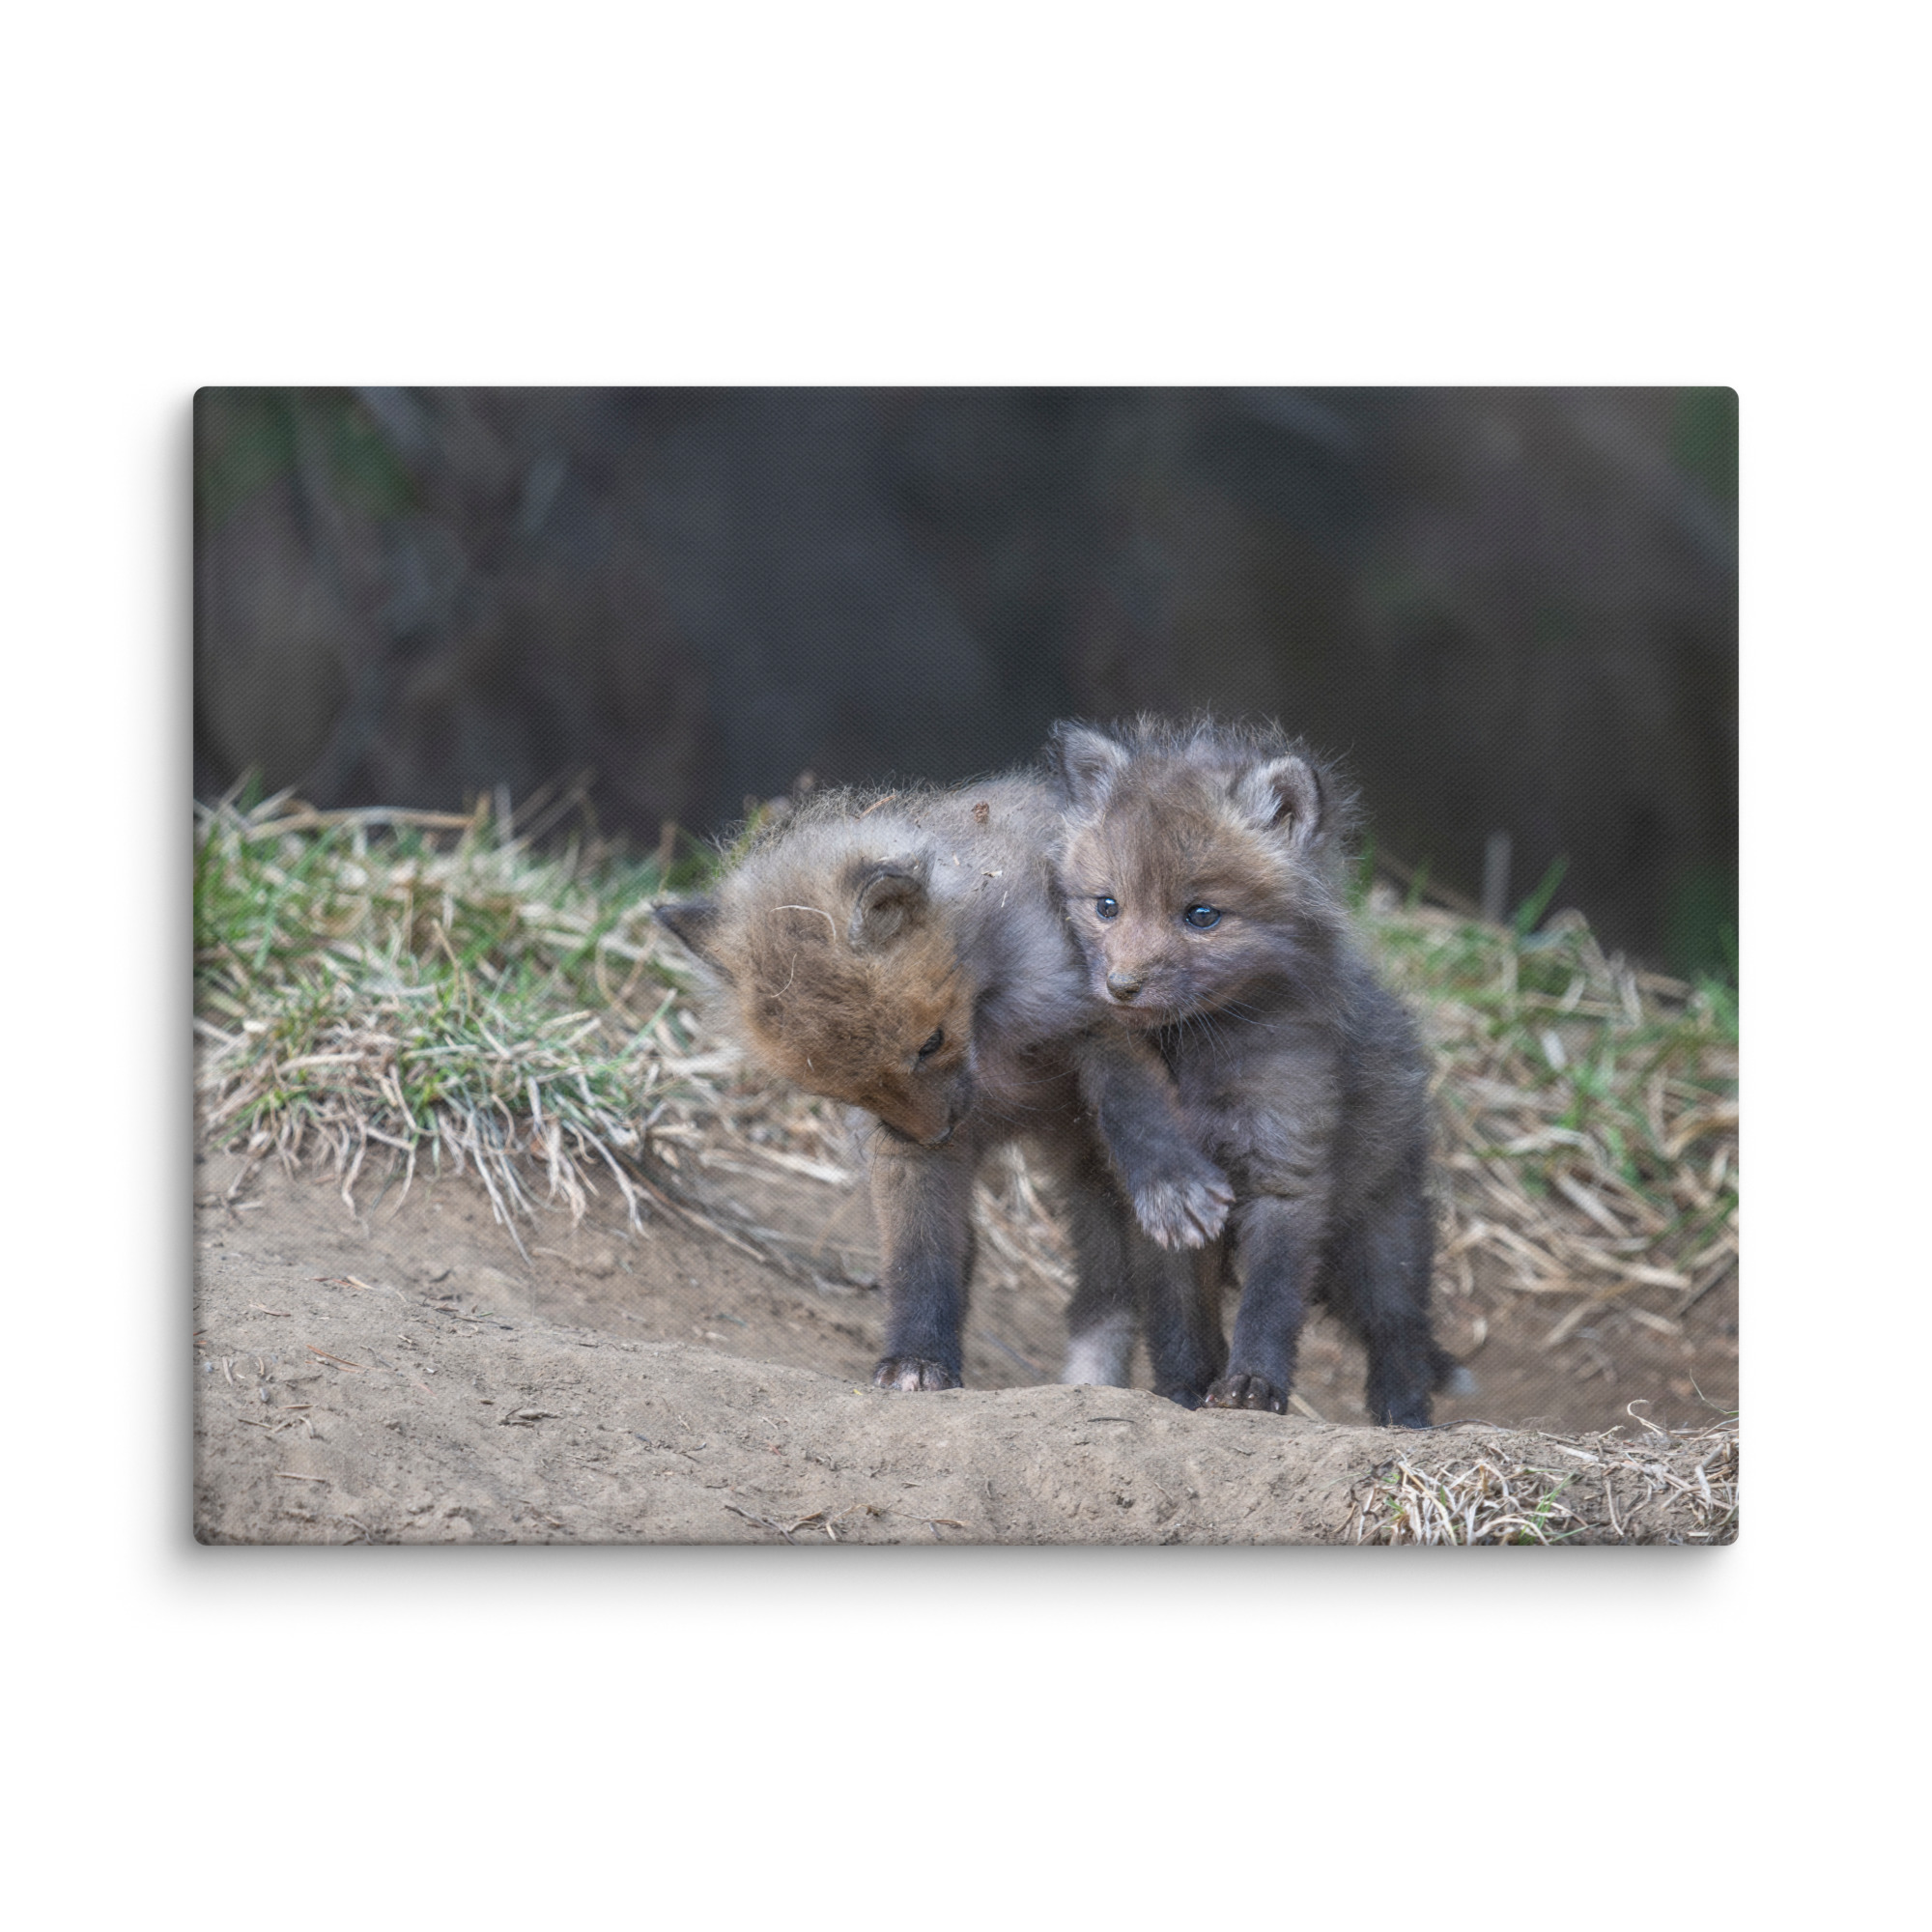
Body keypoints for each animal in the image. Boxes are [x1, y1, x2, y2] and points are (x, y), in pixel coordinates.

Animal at [653, 774, 1232, 1399]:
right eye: (845, 1091)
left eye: (930, 1043)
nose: (936, 1133)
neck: (991, 1034)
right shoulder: (900, 1149)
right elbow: (919, 1257)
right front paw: (918, 1358)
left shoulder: (1100, 1016)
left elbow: (1136, 1109)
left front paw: (1170, 1183)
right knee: (1100, 1293)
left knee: (1166, 1295)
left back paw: (1188, 1388)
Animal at [1047, 716, 1465, 1427]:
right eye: (1106, 906)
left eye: (1202, 915)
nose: (1120, 986)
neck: (1199, 1056)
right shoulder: (1166, 1207)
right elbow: (1178, 1317)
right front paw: (1183, 1391)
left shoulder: (1287, 1171)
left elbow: (1270, 1303)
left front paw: (1252, 1387)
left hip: (1380, 1239)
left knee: (1400, 1332)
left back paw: (1404, 1419)